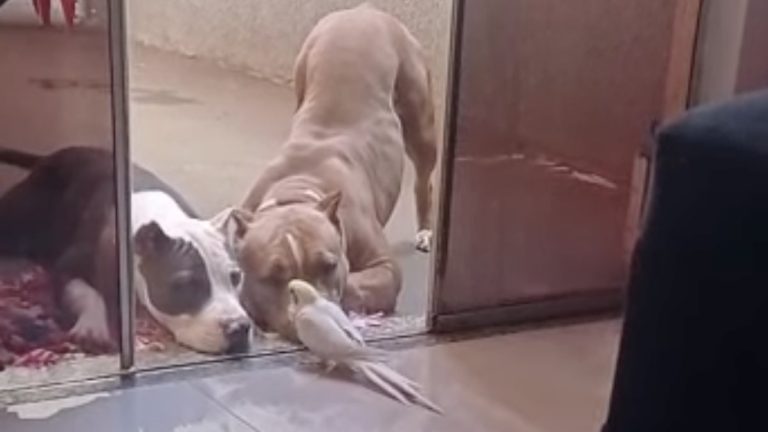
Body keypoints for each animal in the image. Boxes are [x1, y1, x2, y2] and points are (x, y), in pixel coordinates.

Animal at [0, 147, 250, 356]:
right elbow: (88, 293)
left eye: (236, 277)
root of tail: (52, 156)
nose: (240, 327)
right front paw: (93, 327)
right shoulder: (68, 266)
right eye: (186, 284)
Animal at [224, 5, 438, 340]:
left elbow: (354, 283)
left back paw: (426, 231)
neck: (297, 189)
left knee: (424, 176)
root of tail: (364, 10)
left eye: (329, 265)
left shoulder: (384, 266)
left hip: (419, 119)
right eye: (271, 277)